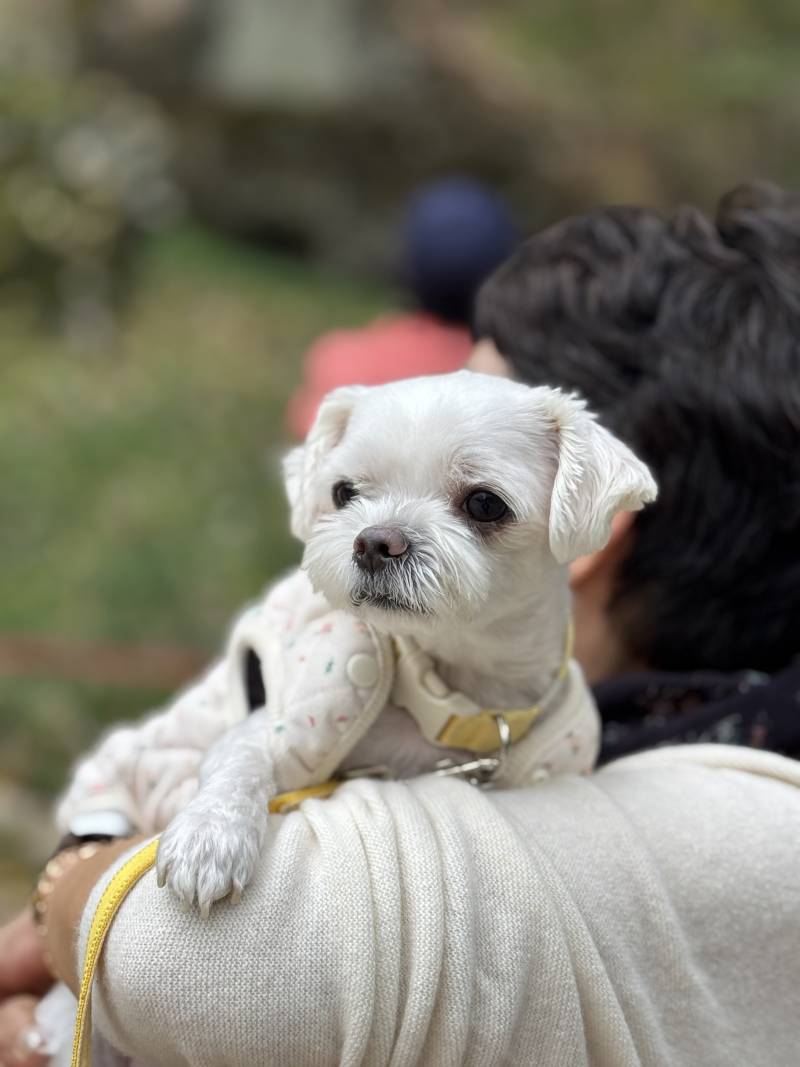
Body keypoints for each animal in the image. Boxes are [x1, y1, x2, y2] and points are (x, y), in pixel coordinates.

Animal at [140, 371, 657, 913]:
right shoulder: (275, 727)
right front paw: (210, 837)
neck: (445, 697)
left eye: (485, 503)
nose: (373, 542)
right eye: (343, 492)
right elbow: (240, 760)